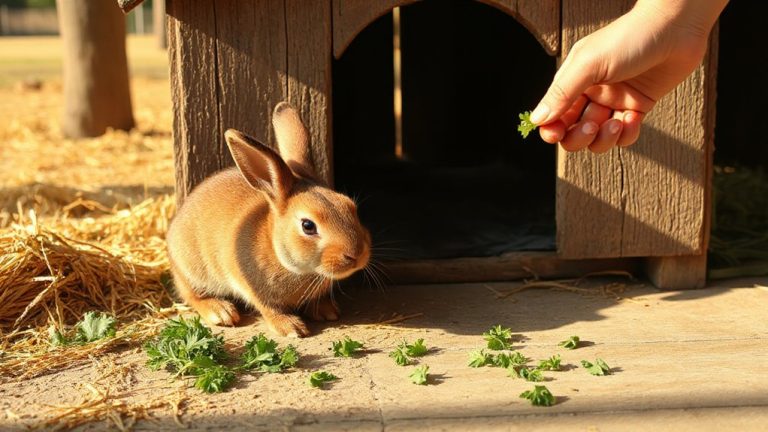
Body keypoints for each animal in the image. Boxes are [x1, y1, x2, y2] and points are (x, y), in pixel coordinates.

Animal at [166, 102, 371, 337]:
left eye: (350, 206)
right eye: (308, 226)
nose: (357, 255)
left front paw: (327, 311)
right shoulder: (254, 288)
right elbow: (268, 309)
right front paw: (291, 327)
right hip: (191, 269)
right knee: (191, 294)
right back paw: (221, 312)